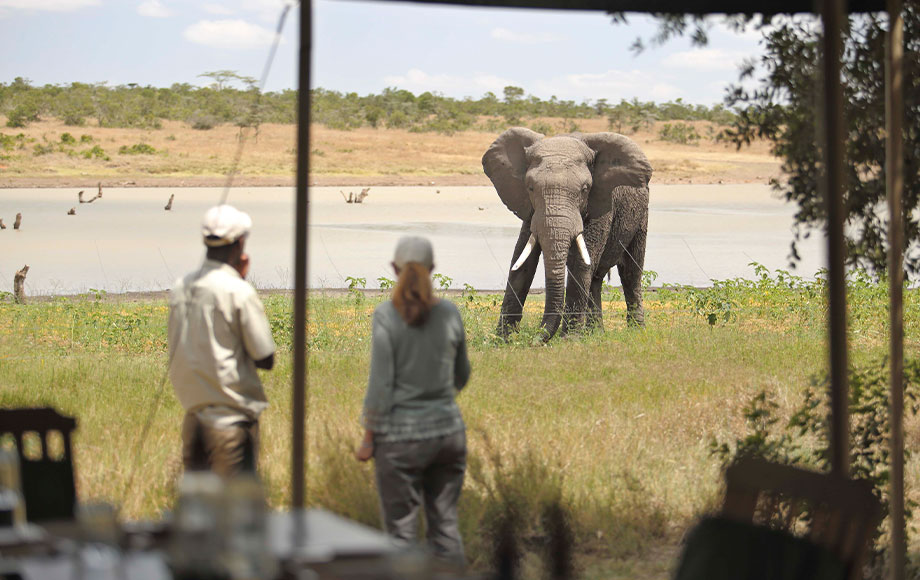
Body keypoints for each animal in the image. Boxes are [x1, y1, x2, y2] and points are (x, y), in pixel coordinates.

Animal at [482, 128, 656, 340]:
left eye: (585, 189)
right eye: (530, 188)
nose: (535, 338)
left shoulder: (602, 204)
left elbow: (580, 262)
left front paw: (569, 339)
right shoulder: (530, 211)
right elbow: (522, 260)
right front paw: (502, 339)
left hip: (641, 216)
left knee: (631, 272)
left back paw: (637, 332)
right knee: (595, 278)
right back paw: (595, 334)